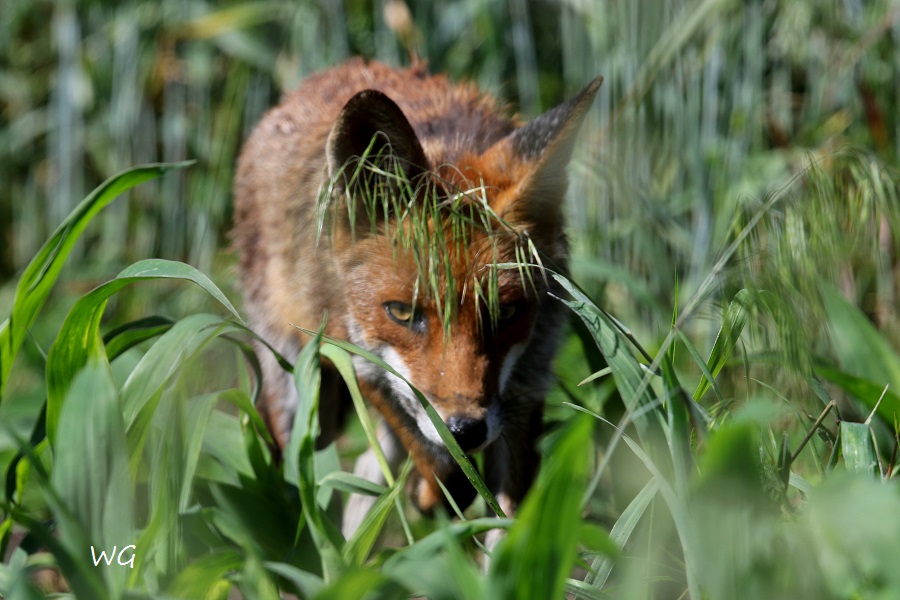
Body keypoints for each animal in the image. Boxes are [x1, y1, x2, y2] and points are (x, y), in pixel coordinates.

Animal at [233, 58, 600, 536]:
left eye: (506, 312)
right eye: (403, 313)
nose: (465, 430)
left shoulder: (526, 385)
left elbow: (510, 529)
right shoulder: (356, 357)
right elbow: (443, 469)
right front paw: (437, 491)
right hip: (301, 388)